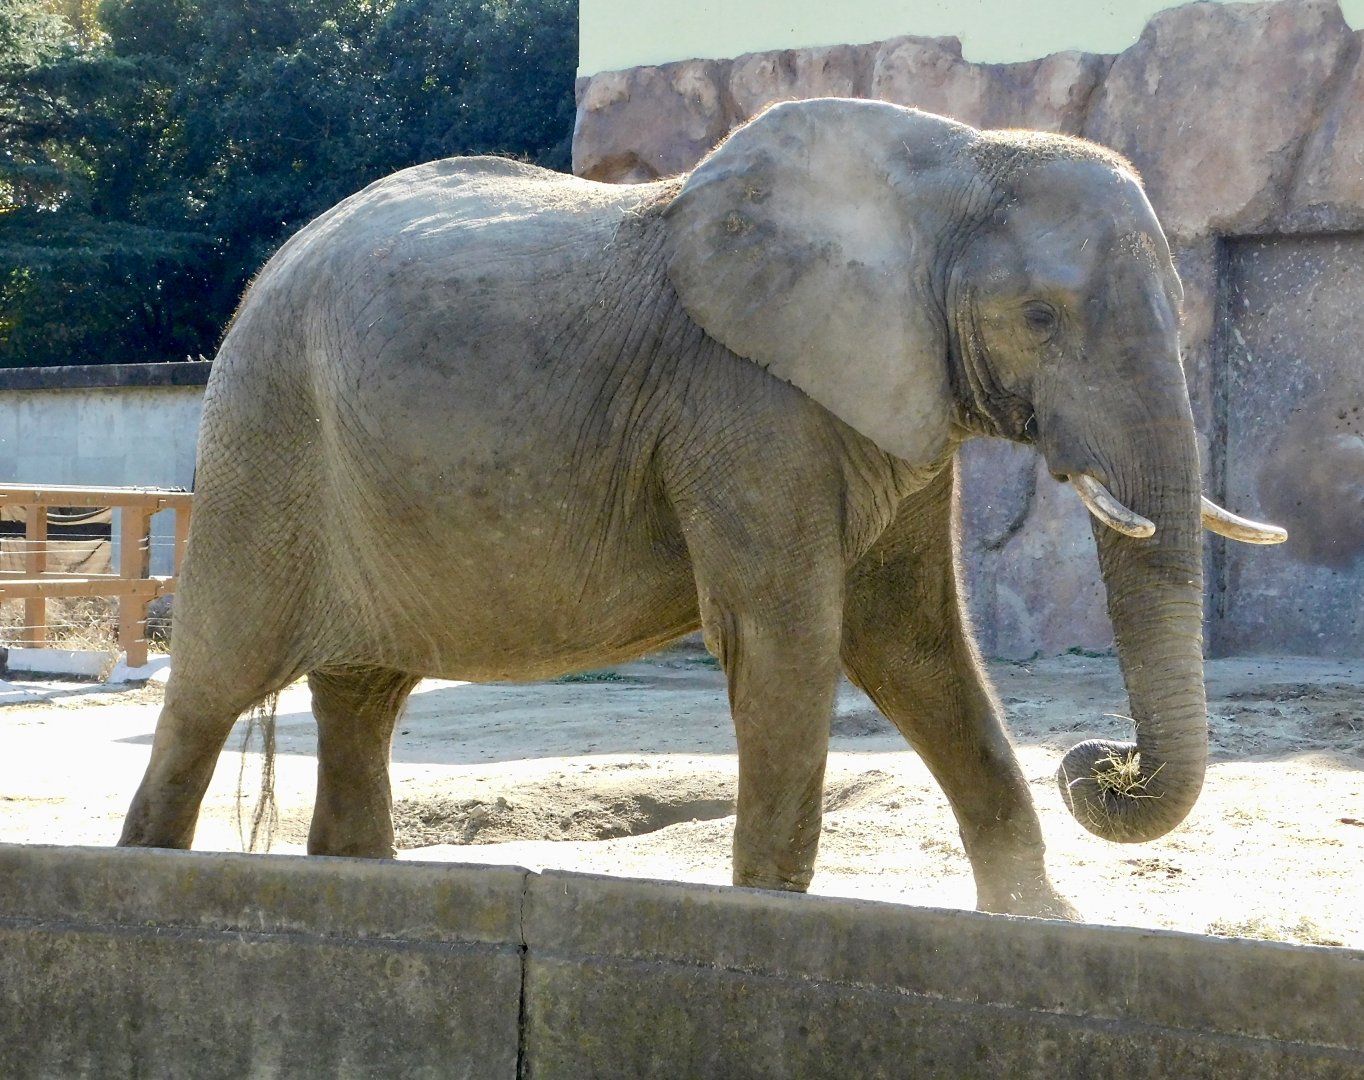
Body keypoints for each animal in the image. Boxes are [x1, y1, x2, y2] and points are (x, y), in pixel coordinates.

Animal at [119, 98, 1285, 917]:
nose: (1099, 761)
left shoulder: (890, 394)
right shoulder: (740, 397)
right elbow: (791, 635)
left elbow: (912, 643)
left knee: (361, 695)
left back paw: (354, 872)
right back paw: (142, 869)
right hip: (264, 435)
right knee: (214, 681)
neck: (953, 157)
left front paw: (1043, 919)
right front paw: (770, 911)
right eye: (1038, 316)